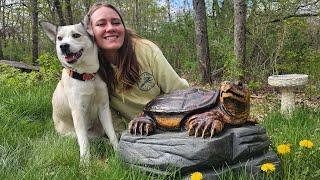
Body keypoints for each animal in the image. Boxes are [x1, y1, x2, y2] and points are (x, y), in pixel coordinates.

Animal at [40, 20, 119, 162]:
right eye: (59, 38)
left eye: (76, 35)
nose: (63, 46)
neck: (86, 77)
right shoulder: (78, 111)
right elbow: (84, 141)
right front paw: (85, 162)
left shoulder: (104, 108)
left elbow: (112, 134)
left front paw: (118, 151)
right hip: (70, 134)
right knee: (89, 139)